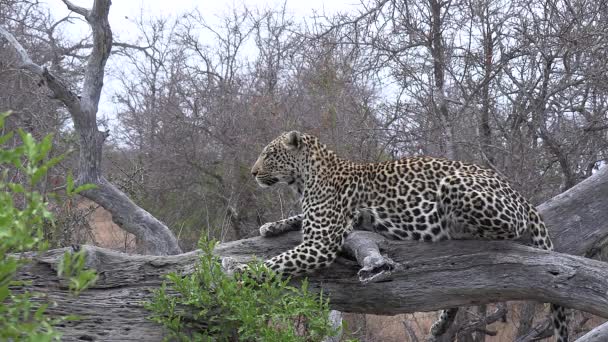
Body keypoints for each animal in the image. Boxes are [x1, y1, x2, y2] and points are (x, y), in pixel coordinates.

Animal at [249, 131, 568, 342]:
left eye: (268, 154)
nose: (252, 173)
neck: (305, 179)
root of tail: (517, 191)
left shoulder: (320, 244)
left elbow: (272, 264)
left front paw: (239, 277)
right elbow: (296, 220)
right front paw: (272, 226)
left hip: (457, 186)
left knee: (502, 231)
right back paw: (440, 324)